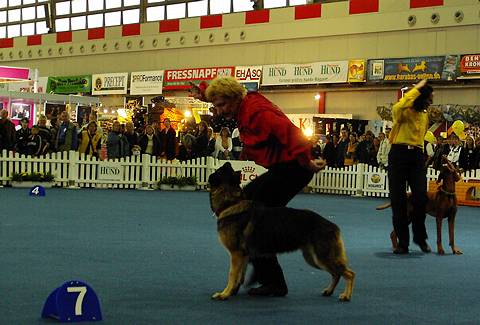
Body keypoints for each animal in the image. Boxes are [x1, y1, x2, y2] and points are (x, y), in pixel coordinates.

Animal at [208, 162, 354, 302]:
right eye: (224, 169)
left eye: (220, 170)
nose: (227, 161)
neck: (231, 203)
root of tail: (333, 226)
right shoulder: (243, 256)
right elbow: (239, 276)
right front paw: (231, 291)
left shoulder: (236, 254)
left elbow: (232, 274)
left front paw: (224, 294)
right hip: (314, 259)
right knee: (336, 273)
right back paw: (329, 291)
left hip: (322, 257)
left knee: (349, 274)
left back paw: (346, 296)